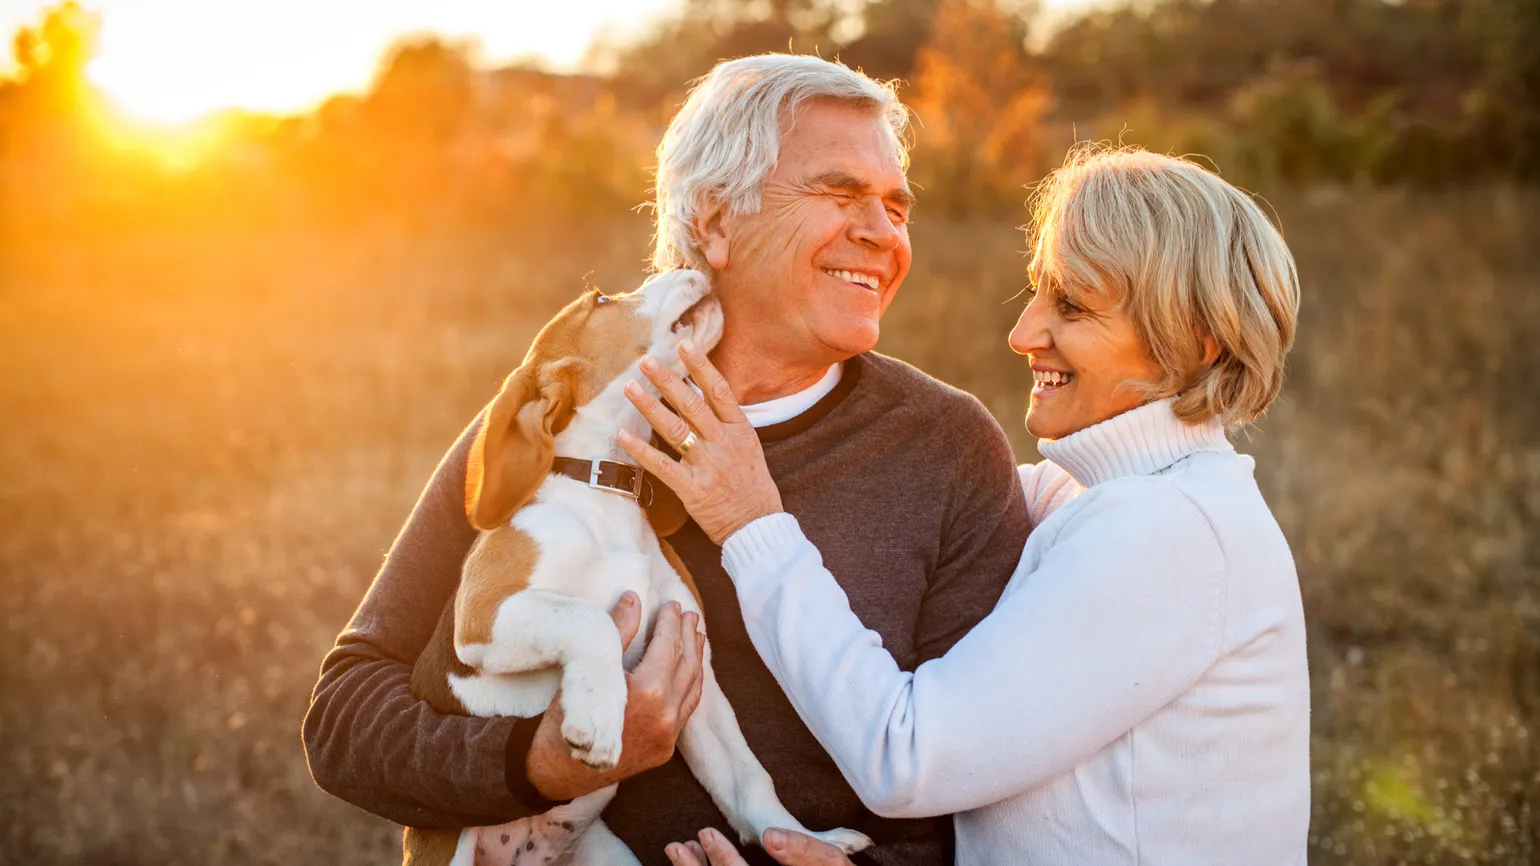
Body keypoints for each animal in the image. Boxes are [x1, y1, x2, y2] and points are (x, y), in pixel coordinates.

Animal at [403, 269, 874, 862]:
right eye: (601, 300)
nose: (693, 268)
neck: (605, 489)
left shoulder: (697, 671)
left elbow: (749, 779)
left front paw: (799, 839)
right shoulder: (483, 617)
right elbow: (590, 619)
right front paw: (600, 718)